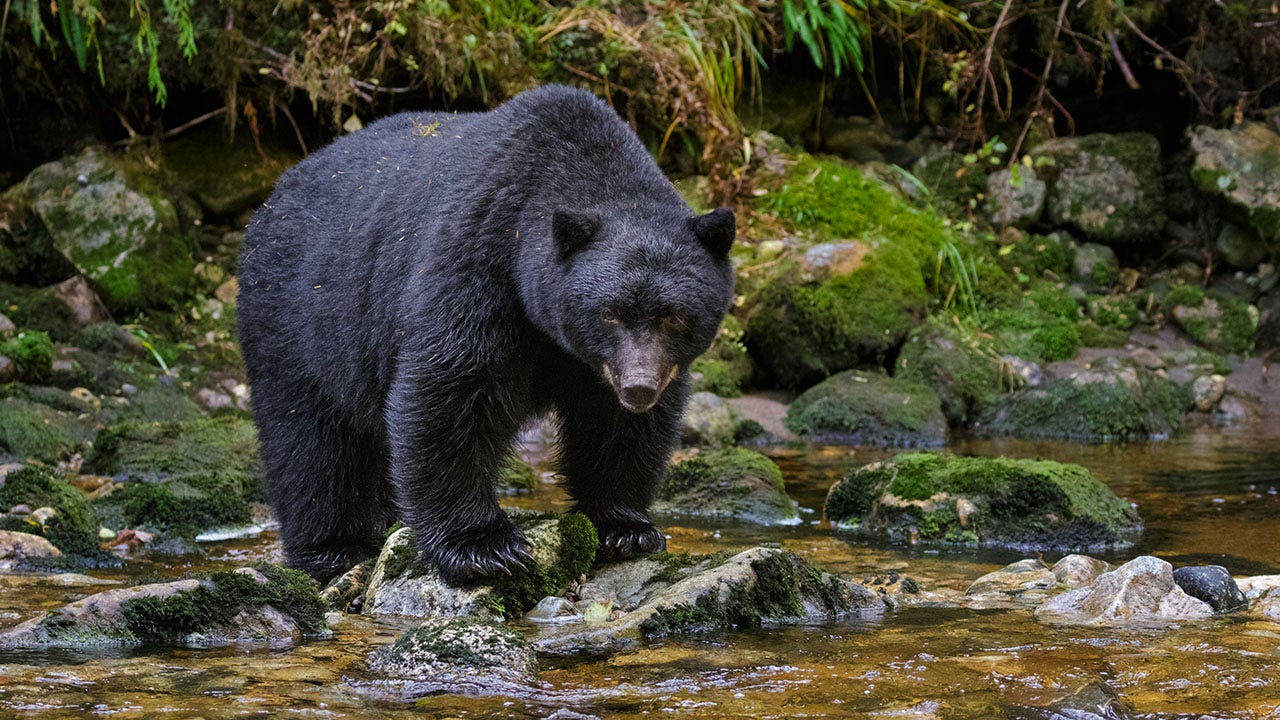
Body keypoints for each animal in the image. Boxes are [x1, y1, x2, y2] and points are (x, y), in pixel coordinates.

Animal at [237, 85, 736, 586]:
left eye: (674, 316)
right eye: (610, 313)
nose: (638, 388)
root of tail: (274, 196)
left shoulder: (603, 363)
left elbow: (615, 425)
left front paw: (625, 527)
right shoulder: (478, 261)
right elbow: (451, 391)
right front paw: (482, 546)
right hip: (298, 318)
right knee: (311, 439)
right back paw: (334, 546)